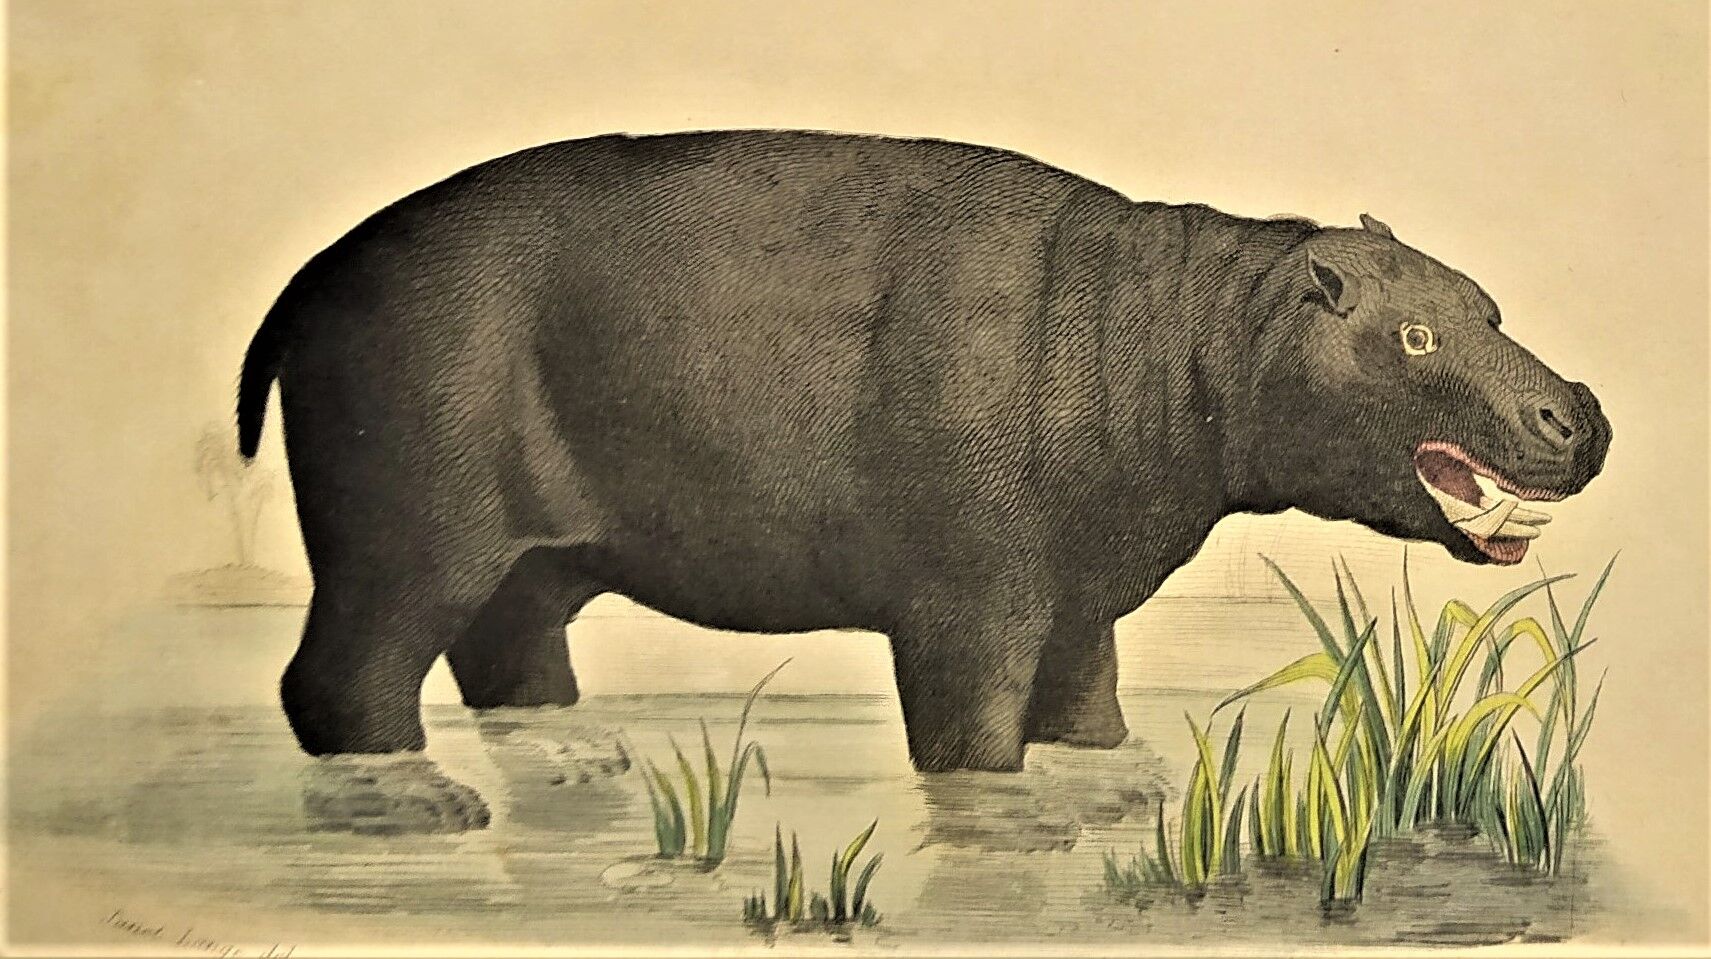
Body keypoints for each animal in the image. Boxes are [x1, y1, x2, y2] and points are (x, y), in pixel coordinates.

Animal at [237, 130, 1610, 773]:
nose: (1582, 410)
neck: (1184, 332)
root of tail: (310, 273)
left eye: (1487, 303)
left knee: (510, 663)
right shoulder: (972, 604)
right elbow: (970, 738)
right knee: (340, 680)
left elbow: (1090, 712)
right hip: (411, 543)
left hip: (532, 566)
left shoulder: (1078, 599)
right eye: (1416, 331)